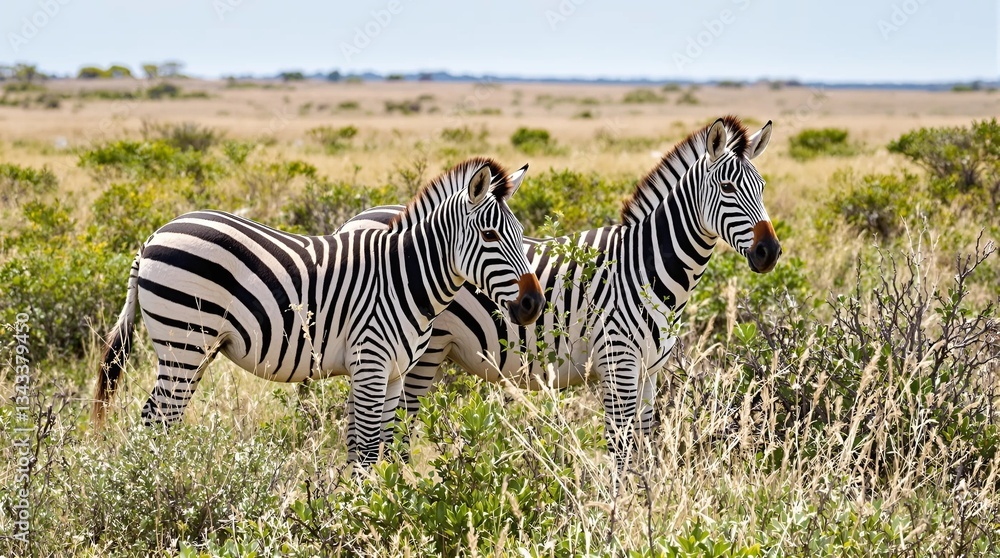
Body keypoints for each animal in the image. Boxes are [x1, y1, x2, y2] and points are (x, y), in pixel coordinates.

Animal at [92, 157, 545, 465]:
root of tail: (153, 236)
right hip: (183, 341)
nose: (533, 304)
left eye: (522, 234)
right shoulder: (370, 363)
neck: (405, 279)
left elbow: (383, 443)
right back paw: (163, 483)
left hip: (195, 348)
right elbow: (366, 447)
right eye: (489, 235)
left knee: (162, 415)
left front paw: (387, 503)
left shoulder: (395, 373)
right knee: (158, 418)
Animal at [338, 116, 780, 467]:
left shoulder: (648, 371)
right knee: (390, 438)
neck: (645, 267)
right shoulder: (617, 363)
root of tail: (353, 221)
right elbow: (620, 451)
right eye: (727, 187)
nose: (770, 252)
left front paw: (642, 510)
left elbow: (643, 450)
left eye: (761, 187)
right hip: (418, 356)